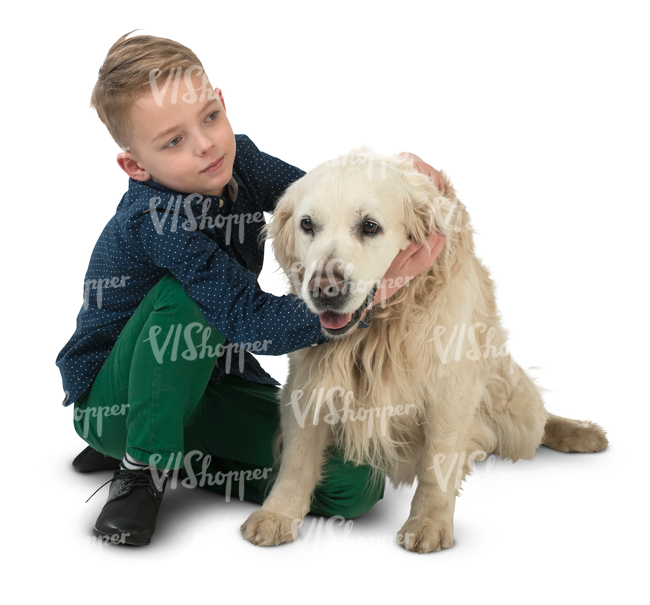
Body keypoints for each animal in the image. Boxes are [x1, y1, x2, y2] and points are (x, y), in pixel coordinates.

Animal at [239, 147, 608, 552]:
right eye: (307, 224)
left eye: (369, 226)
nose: (324, 290)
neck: (382, 324)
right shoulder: (307, 377)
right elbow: (298, 456)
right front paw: (278, 513)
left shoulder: (452, 384)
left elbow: (439, 461)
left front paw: (429, 521)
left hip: (514, 408)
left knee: (539, 420)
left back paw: (580, 432)